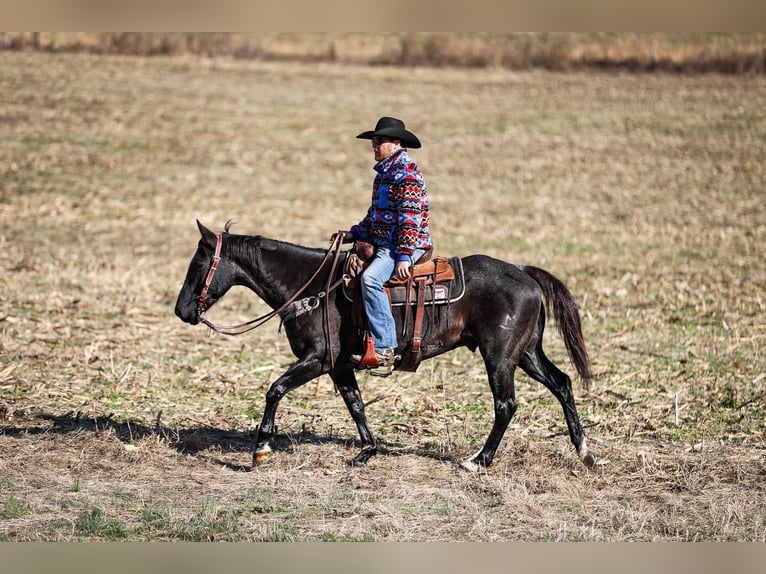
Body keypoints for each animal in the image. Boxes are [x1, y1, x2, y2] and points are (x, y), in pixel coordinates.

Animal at [176, 220, 600, 472]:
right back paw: (585, 453)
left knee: (505, 404)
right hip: (527, 354)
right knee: (562, 384)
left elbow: (274, 389)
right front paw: (368, 450)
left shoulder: (317, 360)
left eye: (198, 265)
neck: (313, 286)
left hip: (500, 357)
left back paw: (479, 461)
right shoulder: (339, 365)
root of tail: (525, 273)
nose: (181, 311)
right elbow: (356, 404)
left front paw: (261, 448)